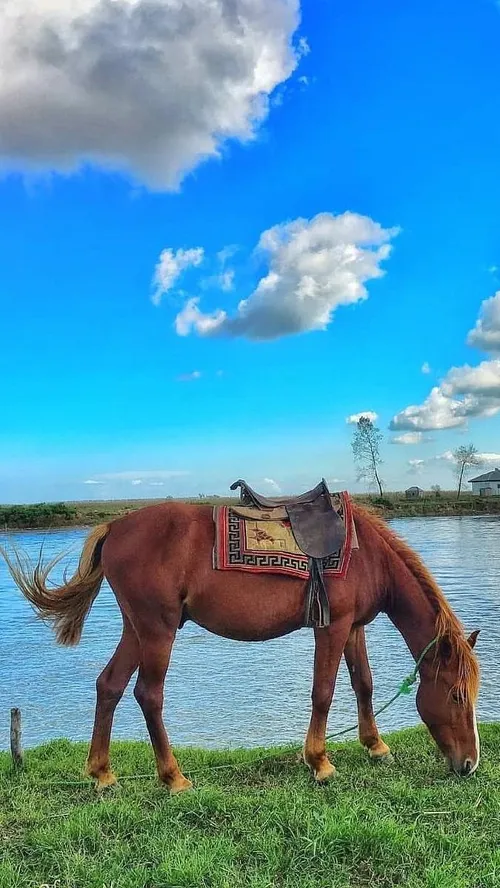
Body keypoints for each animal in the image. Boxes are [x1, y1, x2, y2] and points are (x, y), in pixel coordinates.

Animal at [2, 500, 480, 792]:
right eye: (457, 695)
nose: (471, 764)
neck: (367, 556)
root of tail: (115, 525)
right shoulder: (332, 627)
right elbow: (323, 693)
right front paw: (320, 762)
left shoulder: (354, 627)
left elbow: (363, 684)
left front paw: (376, 746)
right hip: (157, 630)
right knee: (148, 694)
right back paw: (173, 777)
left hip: (136, 629)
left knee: (110, 686)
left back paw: (102, 773)